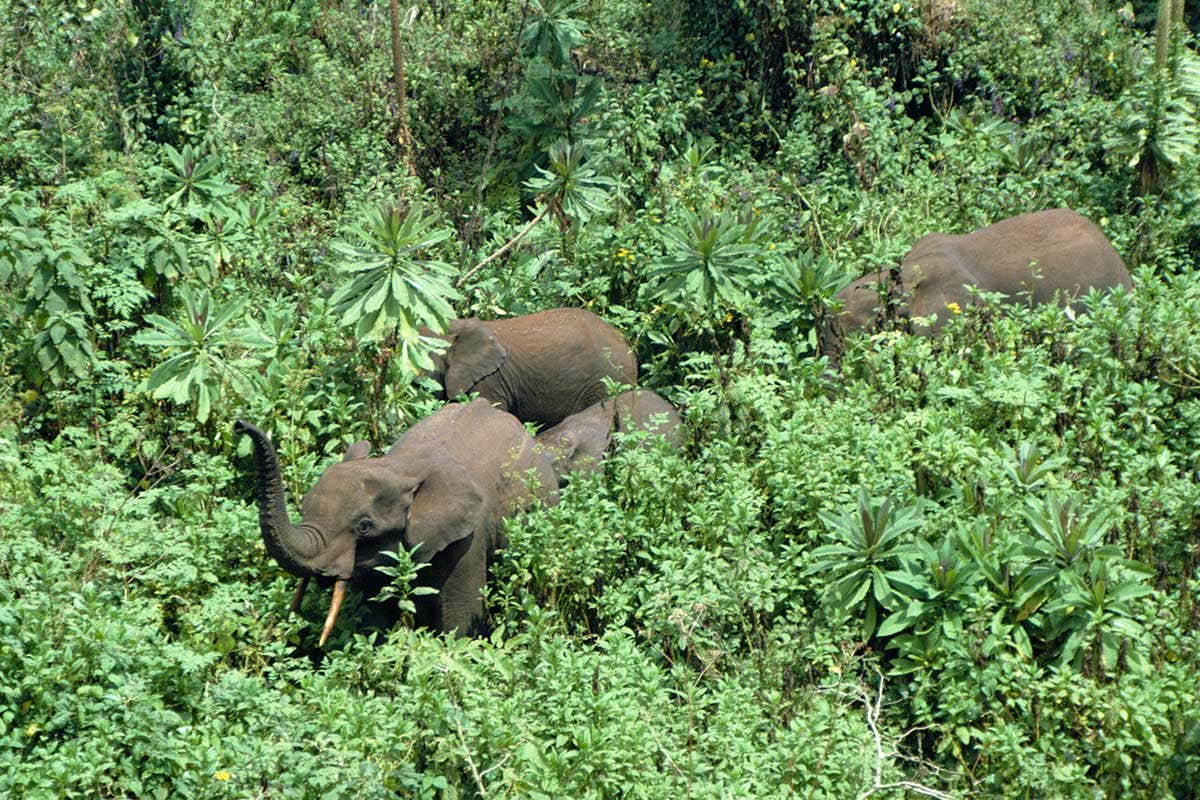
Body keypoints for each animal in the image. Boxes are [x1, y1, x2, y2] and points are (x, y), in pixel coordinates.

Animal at [236, 400, 559, 642]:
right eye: (303, 506)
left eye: (364, 526)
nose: (240, 425)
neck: (399, 468)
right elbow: (376, 614)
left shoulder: (470, 538)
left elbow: (459, 617)